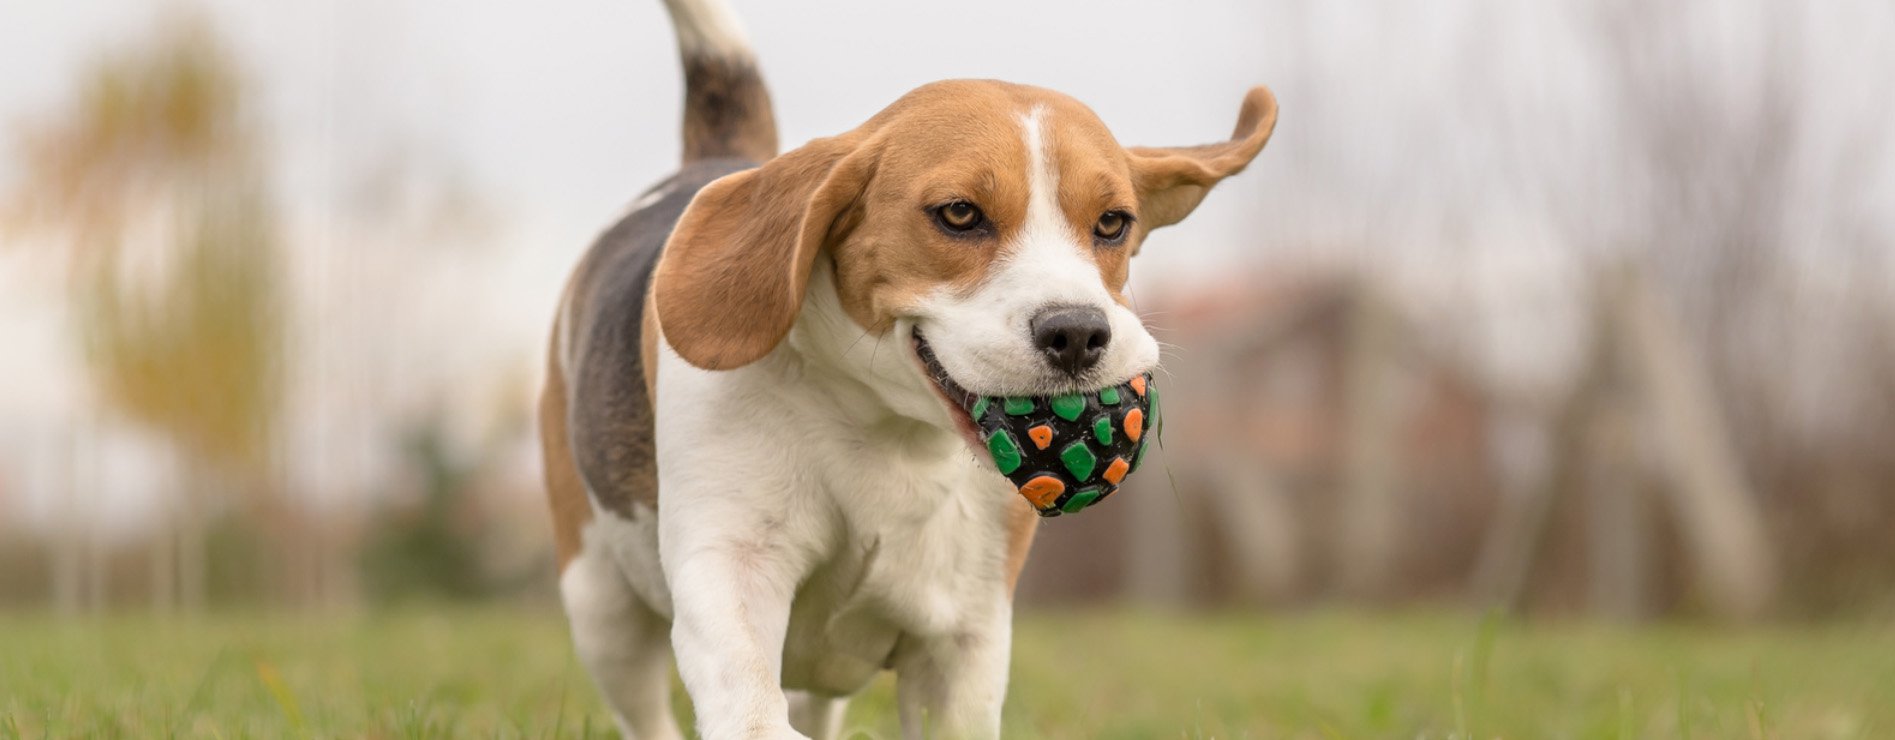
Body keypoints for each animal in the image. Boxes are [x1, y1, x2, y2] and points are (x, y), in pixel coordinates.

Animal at [545, 0, 1288, 734]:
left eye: (1112, 223)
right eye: (958, 213)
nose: (1077, 332)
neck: (885, 433)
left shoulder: (964, 640)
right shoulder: (732, 570)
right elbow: (752, 710)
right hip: (600, 608)